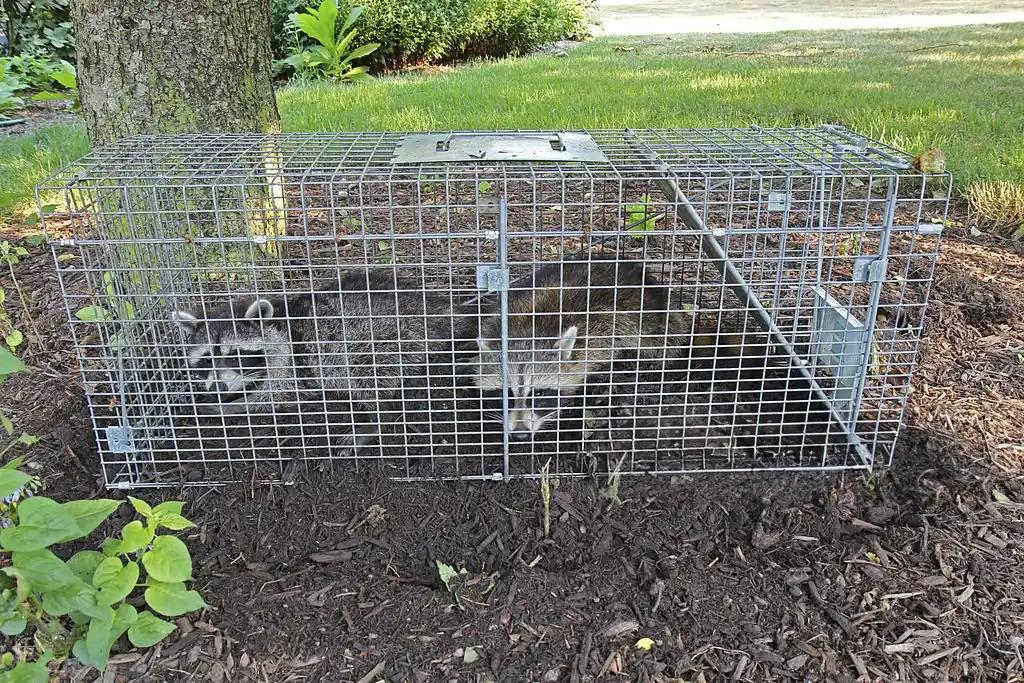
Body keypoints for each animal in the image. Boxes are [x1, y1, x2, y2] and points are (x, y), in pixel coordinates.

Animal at [171, 266, 468, 448]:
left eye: (235, 355)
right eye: (206, 359)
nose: (218, 388)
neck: (279, 323)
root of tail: (440, 309)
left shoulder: (294, 365)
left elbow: (275, 397)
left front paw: (231, 406)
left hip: (388, 338)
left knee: (368, 376)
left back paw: (377, 420)